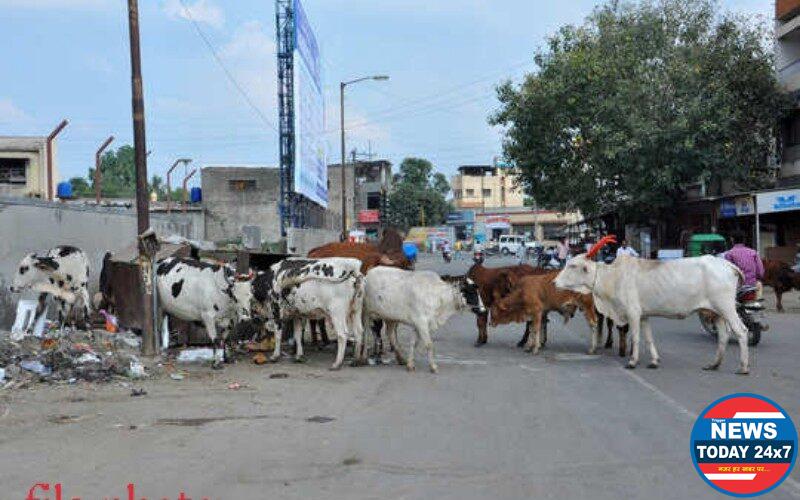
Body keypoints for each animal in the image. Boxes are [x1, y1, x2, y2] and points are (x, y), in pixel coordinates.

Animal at [552, 239, 752, 376]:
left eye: (573, 265)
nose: (554, 282)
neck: (612, 277)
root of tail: (728, 264)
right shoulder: (643, 315)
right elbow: (649, 338)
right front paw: (654, 361)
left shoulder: (633, 313)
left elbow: (636, 337)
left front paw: (632, 361)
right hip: (715, 312)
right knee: (723, 336)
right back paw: (714, 365)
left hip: (726, 307)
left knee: (741, 331)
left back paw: (743, 367)